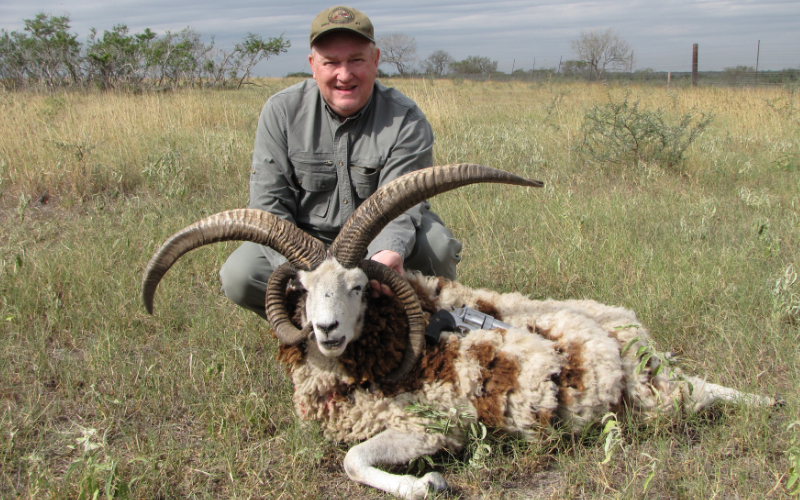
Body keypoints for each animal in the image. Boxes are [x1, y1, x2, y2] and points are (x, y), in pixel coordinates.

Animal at [141, 165, 772, 500]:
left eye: (357, 287)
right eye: (305, 288)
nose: (326, 330)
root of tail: (629, 326)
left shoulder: (434, 426)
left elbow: (353, 460)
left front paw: (430, 485)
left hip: (654, 394)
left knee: (700, 395)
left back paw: (764, 404)